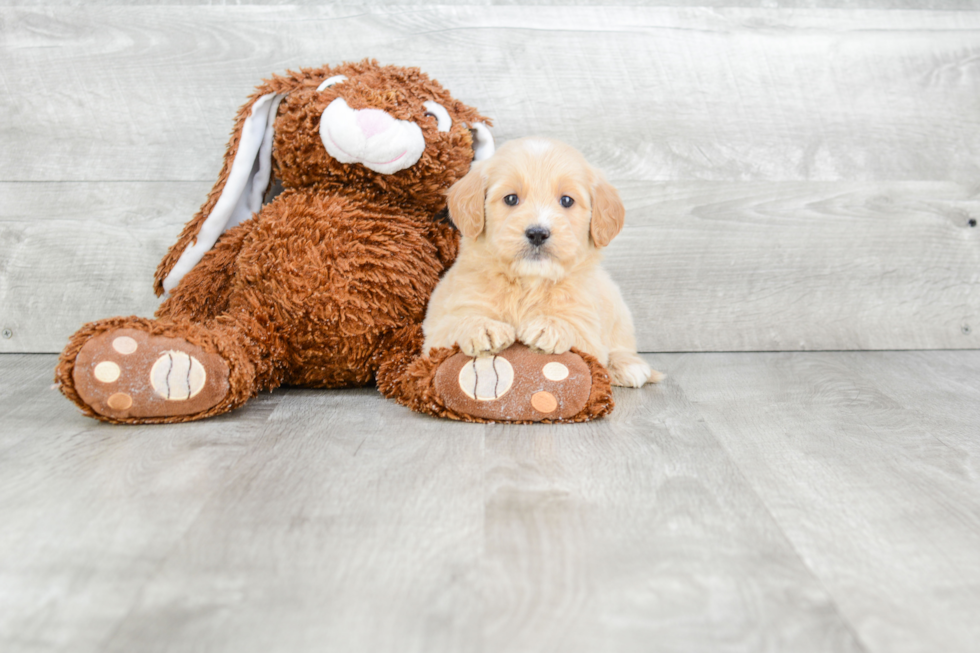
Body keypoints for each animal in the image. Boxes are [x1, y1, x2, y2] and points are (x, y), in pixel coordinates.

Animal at [424, 135, 664, 384]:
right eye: (511, 199)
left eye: (566, 201)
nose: (537, 233)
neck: (528, 282)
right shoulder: (437, 332)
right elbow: (456, 323)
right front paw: (483, 327)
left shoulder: (588, 330)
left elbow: (576, 328)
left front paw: (549, 327)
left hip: (617, 306)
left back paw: (628, 365)